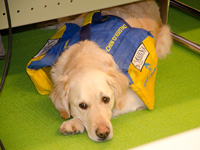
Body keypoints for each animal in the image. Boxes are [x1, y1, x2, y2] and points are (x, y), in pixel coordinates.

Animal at [49, 0, 172, 142]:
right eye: (83, 105)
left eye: (106, 99)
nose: (103, 133)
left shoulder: (135, 97)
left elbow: (113, 109)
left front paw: (74, 122)